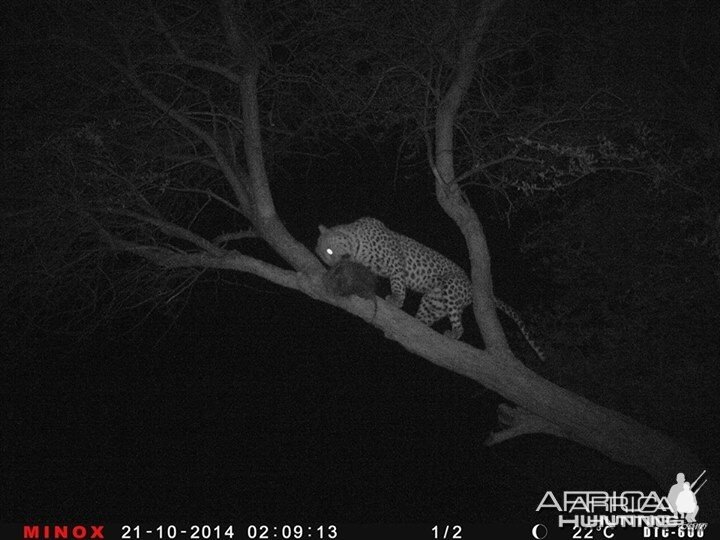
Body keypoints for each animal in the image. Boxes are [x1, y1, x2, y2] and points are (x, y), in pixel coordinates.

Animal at [316, 215, 544, 358]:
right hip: (433, 301)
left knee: (459, 324)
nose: (331, 265)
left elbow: (397, 282)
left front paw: (396, 299)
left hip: (451, 289)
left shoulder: (396, 261)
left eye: (329, 251)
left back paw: (452, 333)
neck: (357, 245)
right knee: (426, 318)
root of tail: (471, 285)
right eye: (323, 257)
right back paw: (414, 324)